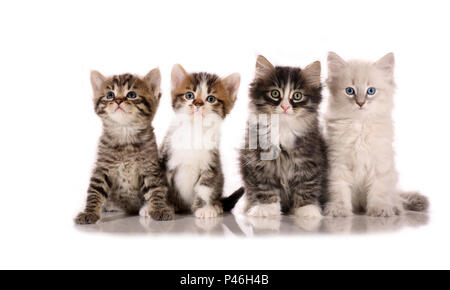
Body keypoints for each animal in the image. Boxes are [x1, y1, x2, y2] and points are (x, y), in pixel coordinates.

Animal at [74, 68, 174, 224]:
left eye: (131, 95)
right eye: (110, 95)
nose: (118, 100)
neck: (125, 133)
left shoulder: (150, 167)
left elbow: (155, 189)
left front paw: (159, 208)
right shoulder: (102, 167)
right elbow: (94, 191)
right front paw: (89, 212)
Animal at [160, 63, 241, 218]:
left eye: (211, 99)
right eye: (189, 95)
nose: (197, 103)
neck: (194, 132)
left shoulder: (211, 163)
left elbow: (205, 186)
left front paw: (205, 209)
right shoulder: (166, 157)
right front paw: (160, 207)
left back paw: (217, 205)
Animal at [324, 52, 428, 216]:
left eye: (371, 91)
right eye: (350, 91)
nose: (360, 103)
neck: (360, 125)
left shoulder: (381, 164)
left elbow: (379, 190)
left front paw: (380, 209)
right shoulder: (338, 163)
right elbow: (339, 189)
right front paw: (338, 209)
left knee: (396, 199)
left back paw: (395, 208)